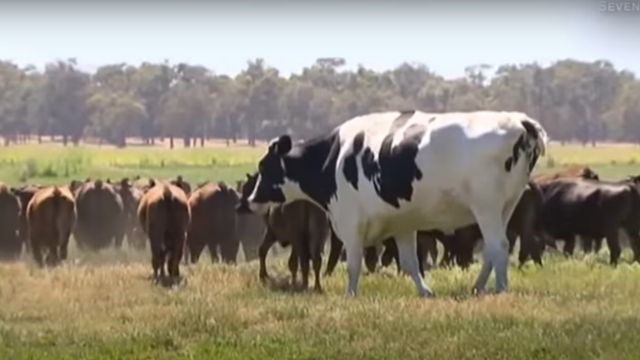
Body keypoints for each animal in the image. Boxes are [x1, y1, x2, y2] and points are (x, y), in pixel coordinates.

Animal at [238, 111, 548, 296]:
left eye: (264, 166)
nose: (250, 201)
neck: (333, 158)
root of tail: (520, 121)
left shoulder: (350, 222)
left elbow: (353, 263)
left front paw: (350, 295)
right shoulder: (403, 224)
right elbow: (410, 263)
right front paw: (425, 293)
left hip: (487, 207)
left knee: (499, 246)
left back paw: (501, 289)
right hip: (505, 207)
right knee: (491, 251)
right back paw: (478, 286)